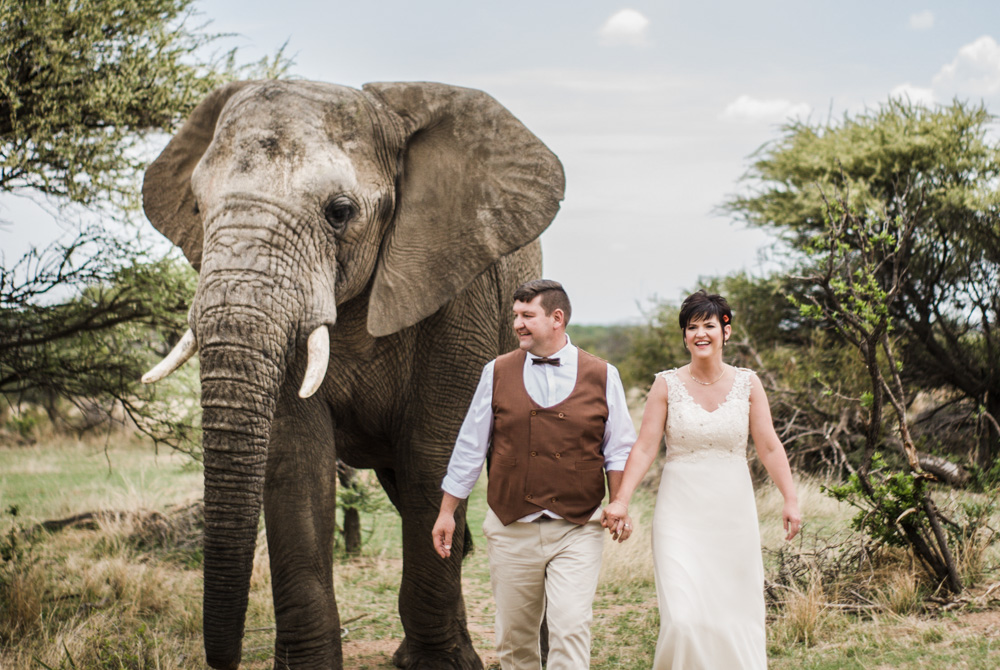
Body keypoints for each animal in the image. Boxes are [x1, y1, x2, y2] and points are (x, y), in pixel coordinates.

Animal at [139, 80, 564, 670]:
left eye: (339, 212)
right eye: (198, 208)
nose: (224, 659)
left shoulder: (461, 292)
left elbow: (434, 452)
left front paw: (436, 668)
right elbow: (296, 458)